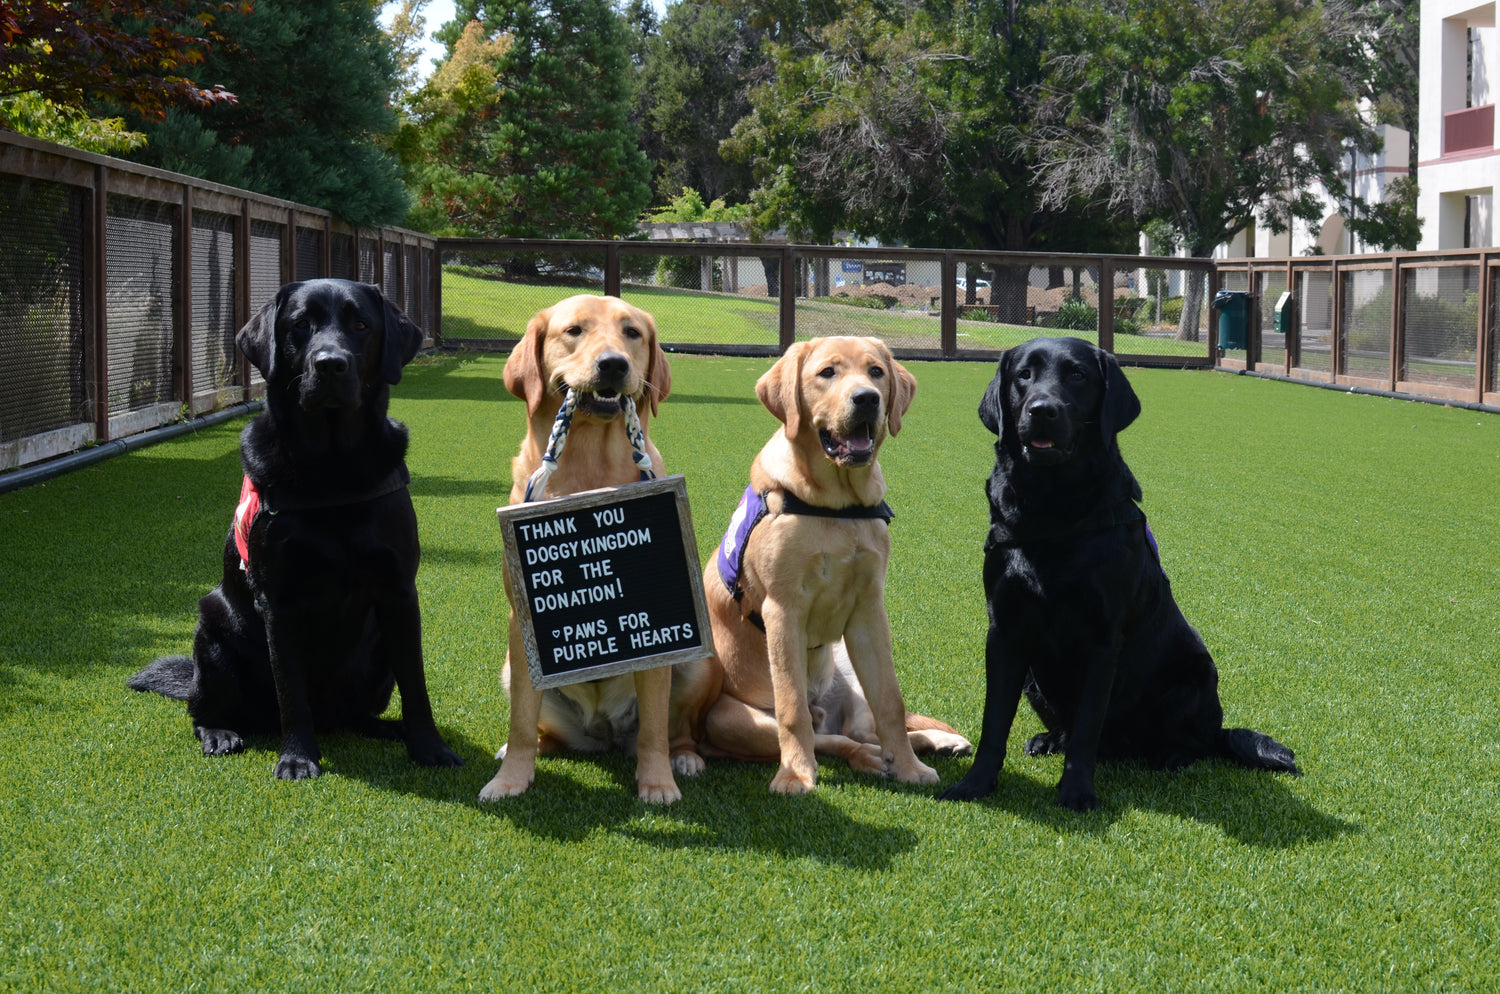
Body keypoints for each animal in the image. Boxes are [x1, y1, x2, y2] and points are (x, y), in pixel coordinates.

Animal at [132, 275, 465, 779]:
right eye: (300, 326)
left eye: (361, 325)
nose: (330, 364)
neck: (332, 469)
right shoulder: (279, 601)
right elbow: (291, 691)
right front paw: (297, 758)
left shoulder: (400, 592)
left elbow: (417, 683)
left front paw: (429, 747)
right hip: (212, 635)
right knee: (202, 709)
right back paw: (221, 733)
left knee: (358, 714)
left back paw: (387, 728)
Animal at [477, 292, 717, 803]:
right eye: (574, 331)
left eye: (632, 333)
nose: (613, 364)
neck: (589, 470)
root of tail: (604, 733)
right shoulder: (522, 628)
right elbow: (521, 722)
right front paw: (510, 779)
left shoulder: (667, 643)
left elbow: (654, 731)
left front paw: (657, 782)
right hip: (512, 668)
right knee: (542, 731)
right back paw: (524, 751)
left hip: (701, 664)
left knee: (676, 731)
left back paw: (683, 758)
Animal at [702, 335, 972, 791]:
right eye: (827, 372)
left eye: (876, 372)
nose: (867, 398)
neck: (837, 506)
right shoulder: (783, 610)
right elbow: (792, 708)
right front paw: (795, 775)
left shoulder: (869, 611)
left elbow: (891, 702)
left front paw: (909, 768)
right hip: (729, 720)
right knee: (825, 736)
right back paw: (860, 757)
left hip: (848, 669)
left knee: (861, 729)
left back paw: (929, 743)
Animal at [942, 338, 1296, 815]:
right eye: (1023, 376)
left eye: (1077, 375)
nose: (1042, 410)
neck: (1053, 510)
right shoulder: (1004, 632)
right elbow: (993, 722)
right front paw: (975, 784)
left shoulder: (1102, 639)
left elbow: (1088, 728)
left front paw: (1077, 793)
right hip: (1035, 677)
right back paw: (1049, 739)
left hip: (1196, 675)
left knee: (1196, 742)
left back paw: (1170, 756)